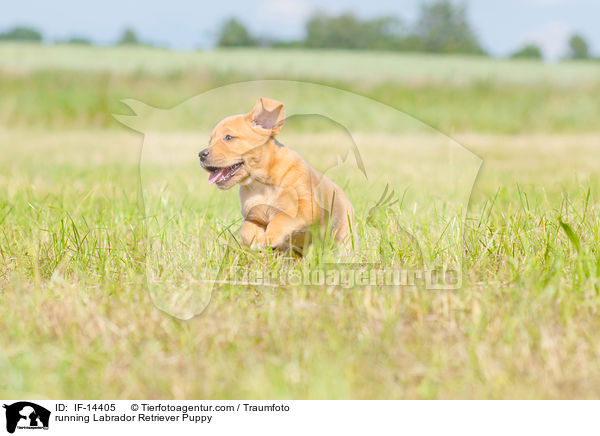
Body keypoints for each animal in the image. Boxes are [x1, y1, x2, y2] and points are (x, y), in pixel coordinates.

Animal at [199, 96, 354, 250]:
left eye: (229, 137)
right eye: (210, 140)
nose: (201, 154)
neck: (262, 184)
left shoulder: (307, 206)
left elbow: (281, 218)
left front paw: (268, 238)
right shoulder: (252, 217)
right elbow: (246, 230)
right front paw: (256, 242)